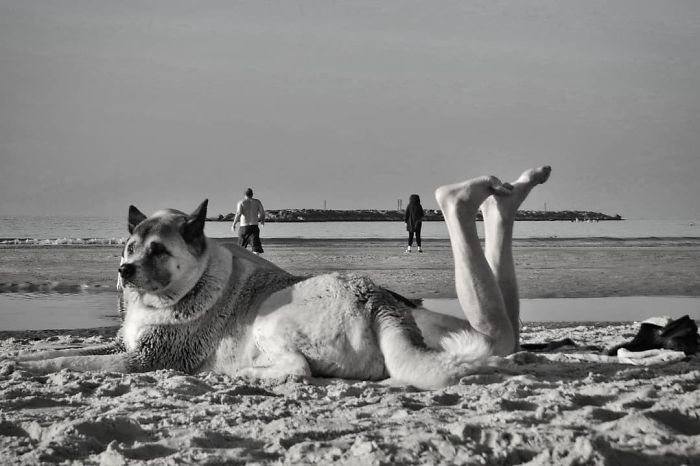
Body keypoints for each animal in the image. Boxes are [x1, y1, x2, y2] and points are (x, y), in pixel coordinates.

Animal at [8, 167, 548, 390]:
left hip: (272, 314)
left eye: (158, 251)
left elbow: (72, 362)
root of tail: (377, 299)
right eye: (128, 247)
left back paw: (239, 373)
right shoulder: (126, 346)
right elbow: (69, 350)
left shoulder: (144, 361)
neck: (186, 288)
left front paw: (31, 368)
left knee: (297, 370)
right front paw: (26, 360)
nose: (124, 271)